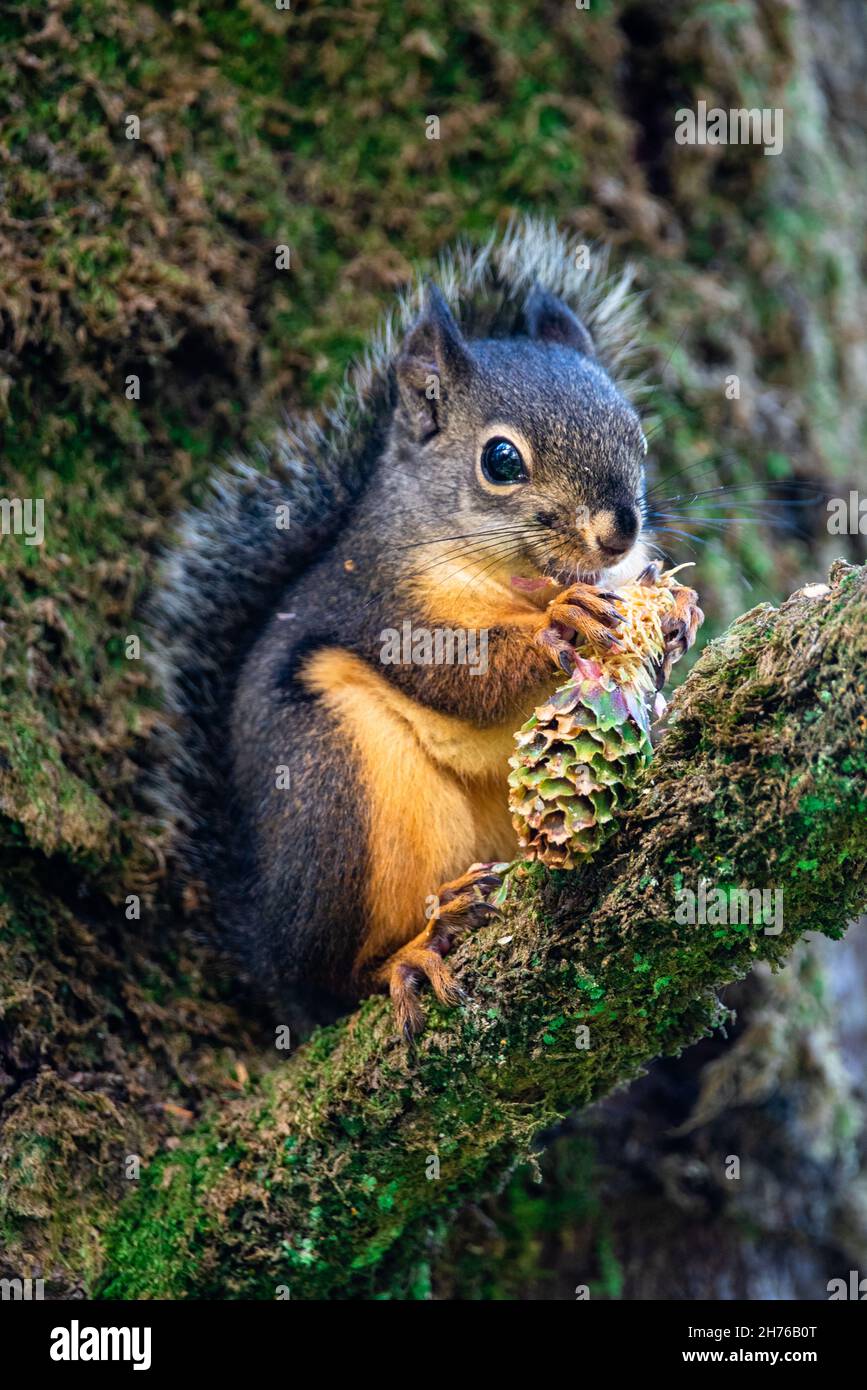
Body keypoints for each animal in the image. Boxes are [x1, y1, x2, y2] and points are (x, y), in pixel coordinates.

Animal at [150, 218, 701, 1037]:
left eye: (635, 433)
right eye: (500, 459)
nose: (619, 533)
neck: (519, 582)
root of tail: (263, 946)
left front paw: (675, 613)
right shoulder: (383, 604)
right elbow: (458, 676)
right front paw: (558, 626)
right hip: (339, 789)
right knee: (334, 980)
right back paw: (406, 954)